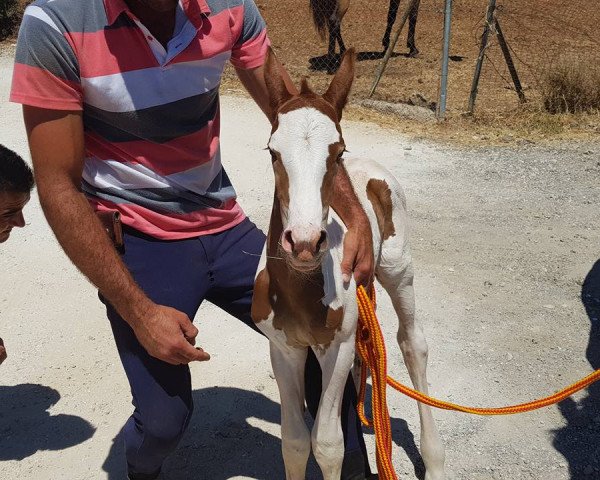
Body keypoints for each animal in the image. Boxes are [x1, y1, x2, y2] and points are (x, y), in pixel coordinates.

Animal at [250, 49, 446, 480]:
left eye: (337, 151)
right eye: (272, 152)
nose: (304, 242)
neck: (302, 287)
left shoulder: (336, 347)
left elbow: (327, 445)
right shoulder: (283, 348)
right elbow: (294, 442)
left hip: (399, 272)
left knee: (413, 344)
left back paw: (436, 460)